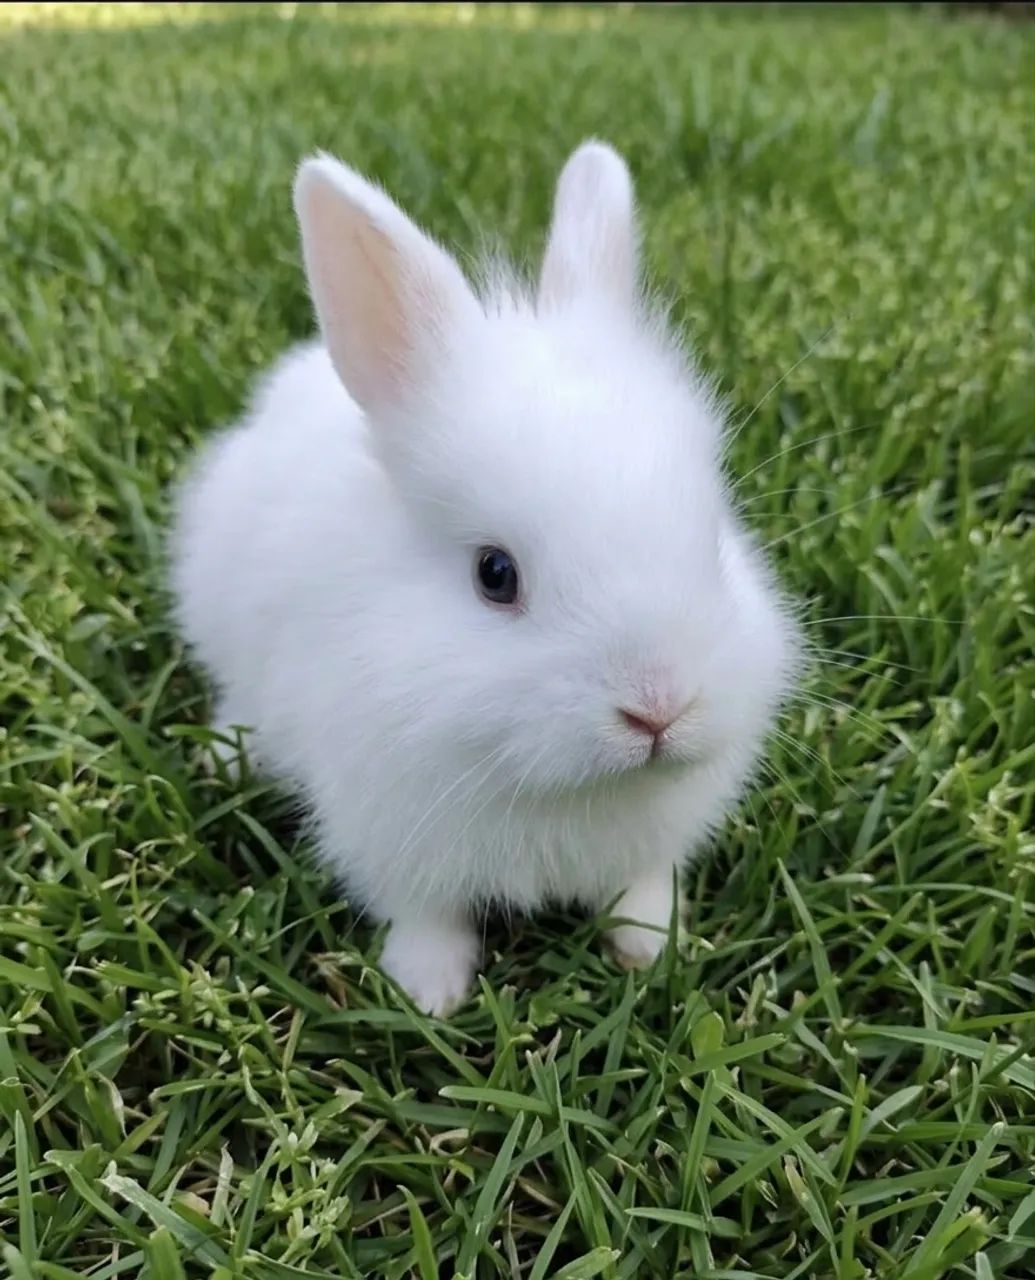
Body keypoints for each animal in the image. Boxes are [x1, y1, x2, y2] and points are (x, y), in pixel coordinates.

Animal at [170, 140, 803, 1016]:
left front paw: (651, 948)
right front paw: (426, 992)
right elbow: (425, 914)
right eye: (494, 575)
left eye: (711, 539)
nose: (658, 711)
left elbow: (641, 885)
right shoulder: (389, 834)